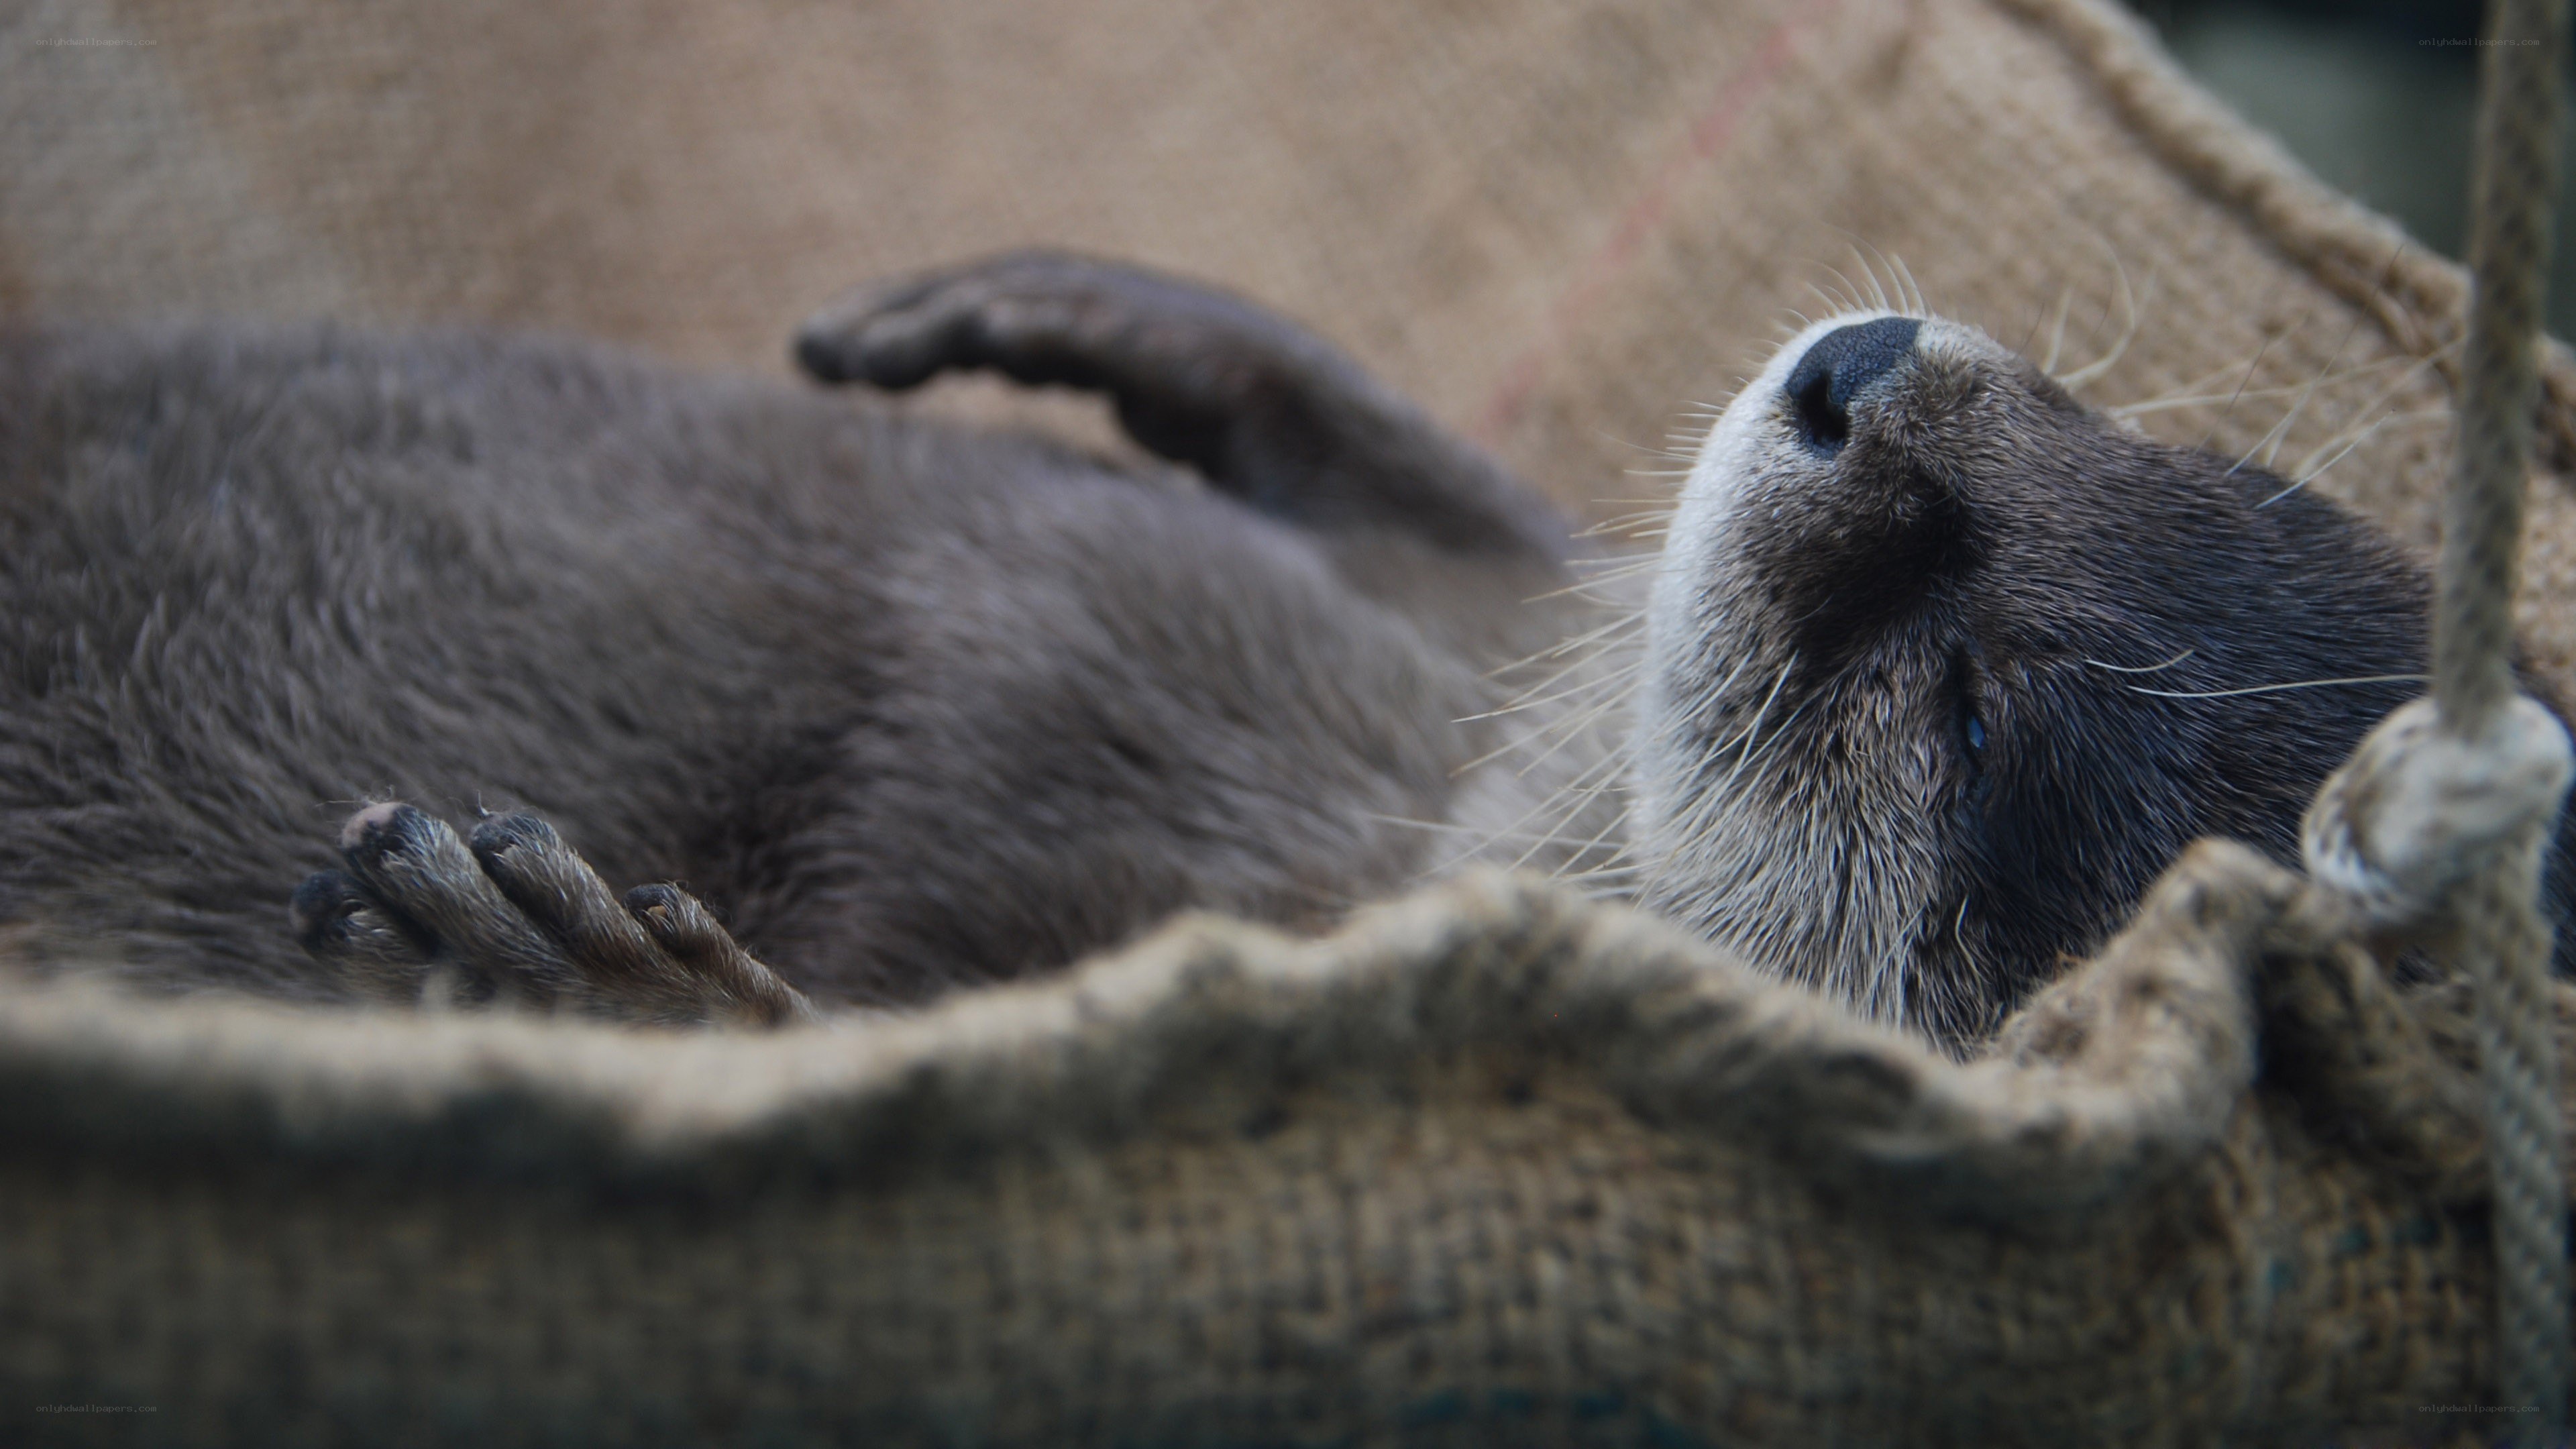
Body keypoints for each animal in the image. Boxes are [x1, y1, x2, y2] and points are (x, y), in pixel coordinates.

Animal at [0, 252, 2562, 1043]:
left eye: (1965, 708)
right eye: (2109, 429)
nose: (1858, 378)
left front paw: (592, 985)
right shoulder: (1441, 667)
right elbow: (1460, 525)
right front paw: (1103, 322)